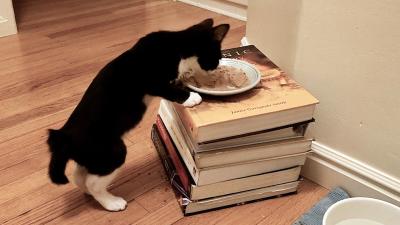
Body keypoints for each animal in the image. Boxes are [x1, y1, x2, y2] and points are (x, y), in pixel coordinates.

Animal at [47, 18, 228, 211]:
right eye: (216, 57)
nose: (216, 68)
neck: (177, 46)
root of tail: (64, 138)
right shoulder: (153, 81)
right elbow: (171, 90)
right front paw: (191, 97)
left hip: (93, 157)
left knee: (79, 176)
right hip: (112, 152)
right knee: (92, 182)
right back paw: (111, 202)